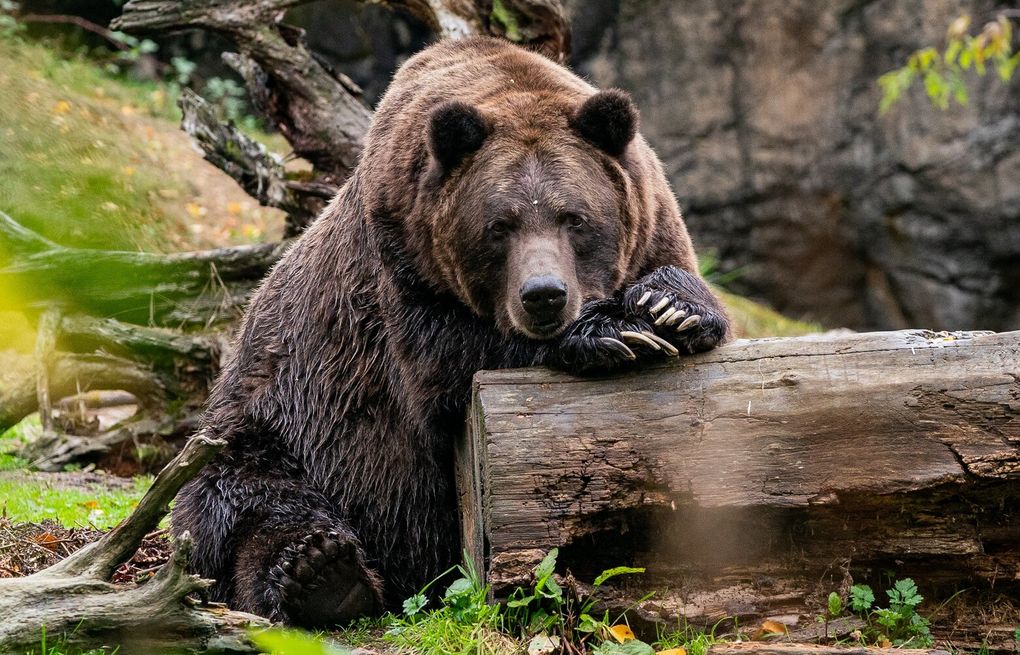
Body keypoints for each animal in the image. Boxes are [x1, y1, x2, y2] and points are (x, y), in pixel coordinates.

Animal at [177, 33, 734, 624]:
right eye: (501, 225)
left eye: (574, 218)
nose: (544, 296)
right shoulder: (404, 268)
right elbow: (450, 367)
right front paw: (609, 332)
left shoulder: (653, 224)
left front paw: (668, 307)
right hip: (276, 427)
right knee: (240, 507)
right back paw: (320, 573)